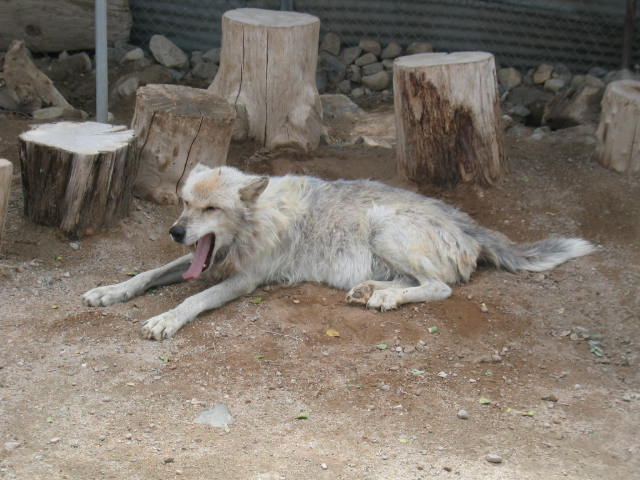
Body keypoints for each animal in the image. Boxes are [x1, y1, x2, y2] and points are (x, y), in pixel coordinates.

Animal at [83, 164, 594, 340]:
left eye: (211, 208)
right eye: (185, 202)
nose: (175, 231)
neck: (255, 221)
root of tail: (468, 222)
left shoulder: (243, 280)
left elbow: (191, 298)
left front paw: (166, 320)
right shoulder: (203, 263)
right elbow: (145, 275)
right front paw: (109, 292)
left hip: (383, 224)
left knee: (439, 288)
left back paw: (383, 297)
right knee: (414, 282)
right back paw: (371, 290)